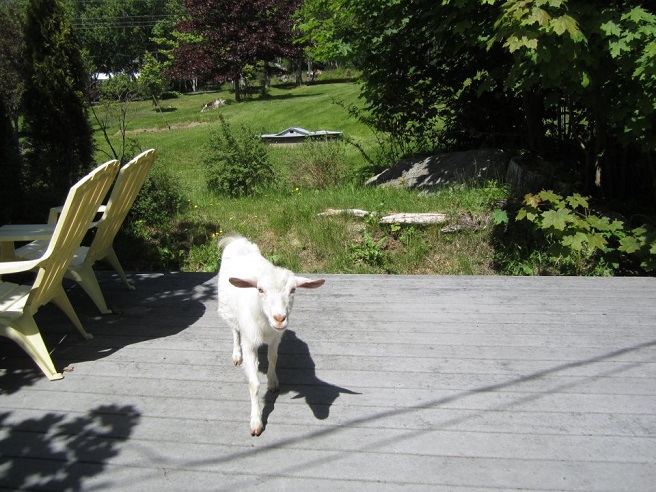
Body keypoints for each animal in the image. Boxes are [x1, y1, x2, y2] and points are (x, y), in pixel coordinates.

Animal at [218, 236, 326, 436]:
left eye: (293, 290)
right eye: (260, 290)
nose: (279, 318)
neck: (264, 322)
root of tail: (238, 240)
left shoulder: (276, 339)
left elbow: (273, 358)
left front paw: (273, 381)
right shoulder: (249, 342)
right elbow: (253, 384)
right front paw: (256, 422)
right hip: (227, 308)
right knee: (234, 330)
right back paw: (237, 355)